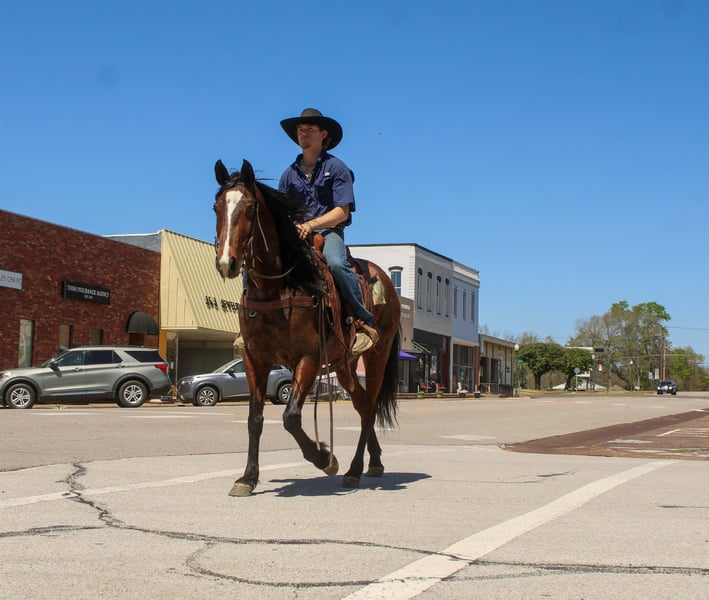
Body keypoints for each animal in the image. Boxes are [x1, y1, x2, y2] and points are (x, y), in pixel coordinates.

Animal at [213, 158, 401, 496]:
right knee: (361, 403)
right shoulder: (254, 358)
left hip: (377, 356)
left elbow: (290, 417)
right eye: (216, 207)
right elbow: (254, 419)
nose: (226, 263)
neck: (278, 288)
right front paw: (247, 477)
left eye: (249, 207)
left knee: (368, 408)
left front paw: (325, 458)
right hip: (344, 365)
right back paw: (375, 462)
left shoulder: (309, 358)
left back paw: (353, 469)